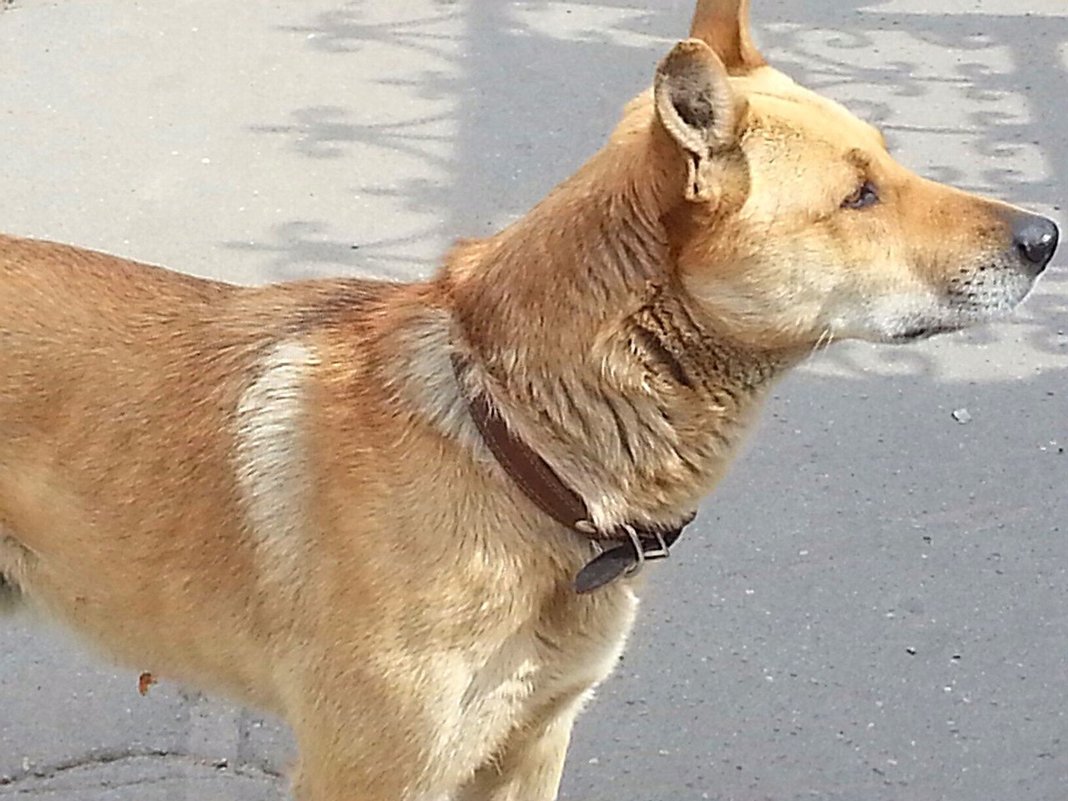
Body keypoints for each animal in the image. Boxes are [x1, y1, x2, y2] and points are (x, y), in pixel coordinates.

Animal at [0, 1, 1055, 801]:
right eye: (859, 197)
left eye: (889, 163)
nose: (1046, 236)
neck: (509, 435)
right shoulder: (370, 773)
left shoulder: (528, 750)